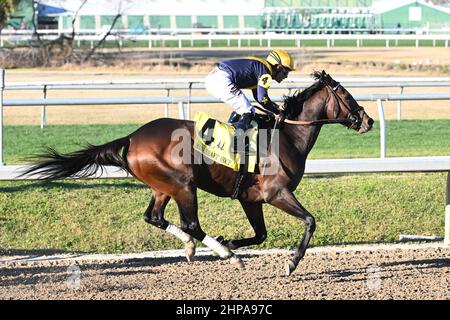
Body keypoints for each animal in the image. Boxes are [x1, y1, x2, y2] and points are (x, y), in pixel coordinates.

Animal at [22, 70, 372, 276]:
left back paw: (195, 246)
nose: (367, 121)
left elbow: (260, 234)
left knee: (154, 217)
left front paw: (230, 239)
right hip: (183, 185)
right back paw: (223, 253)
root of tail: (133, 137)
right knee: (190, 223)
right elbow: (310, 221)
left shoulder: (251, 199)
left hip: (162, 186)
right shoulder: (276, 193)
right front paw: (290, 262)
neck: (286, 136)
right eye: (346, 95)